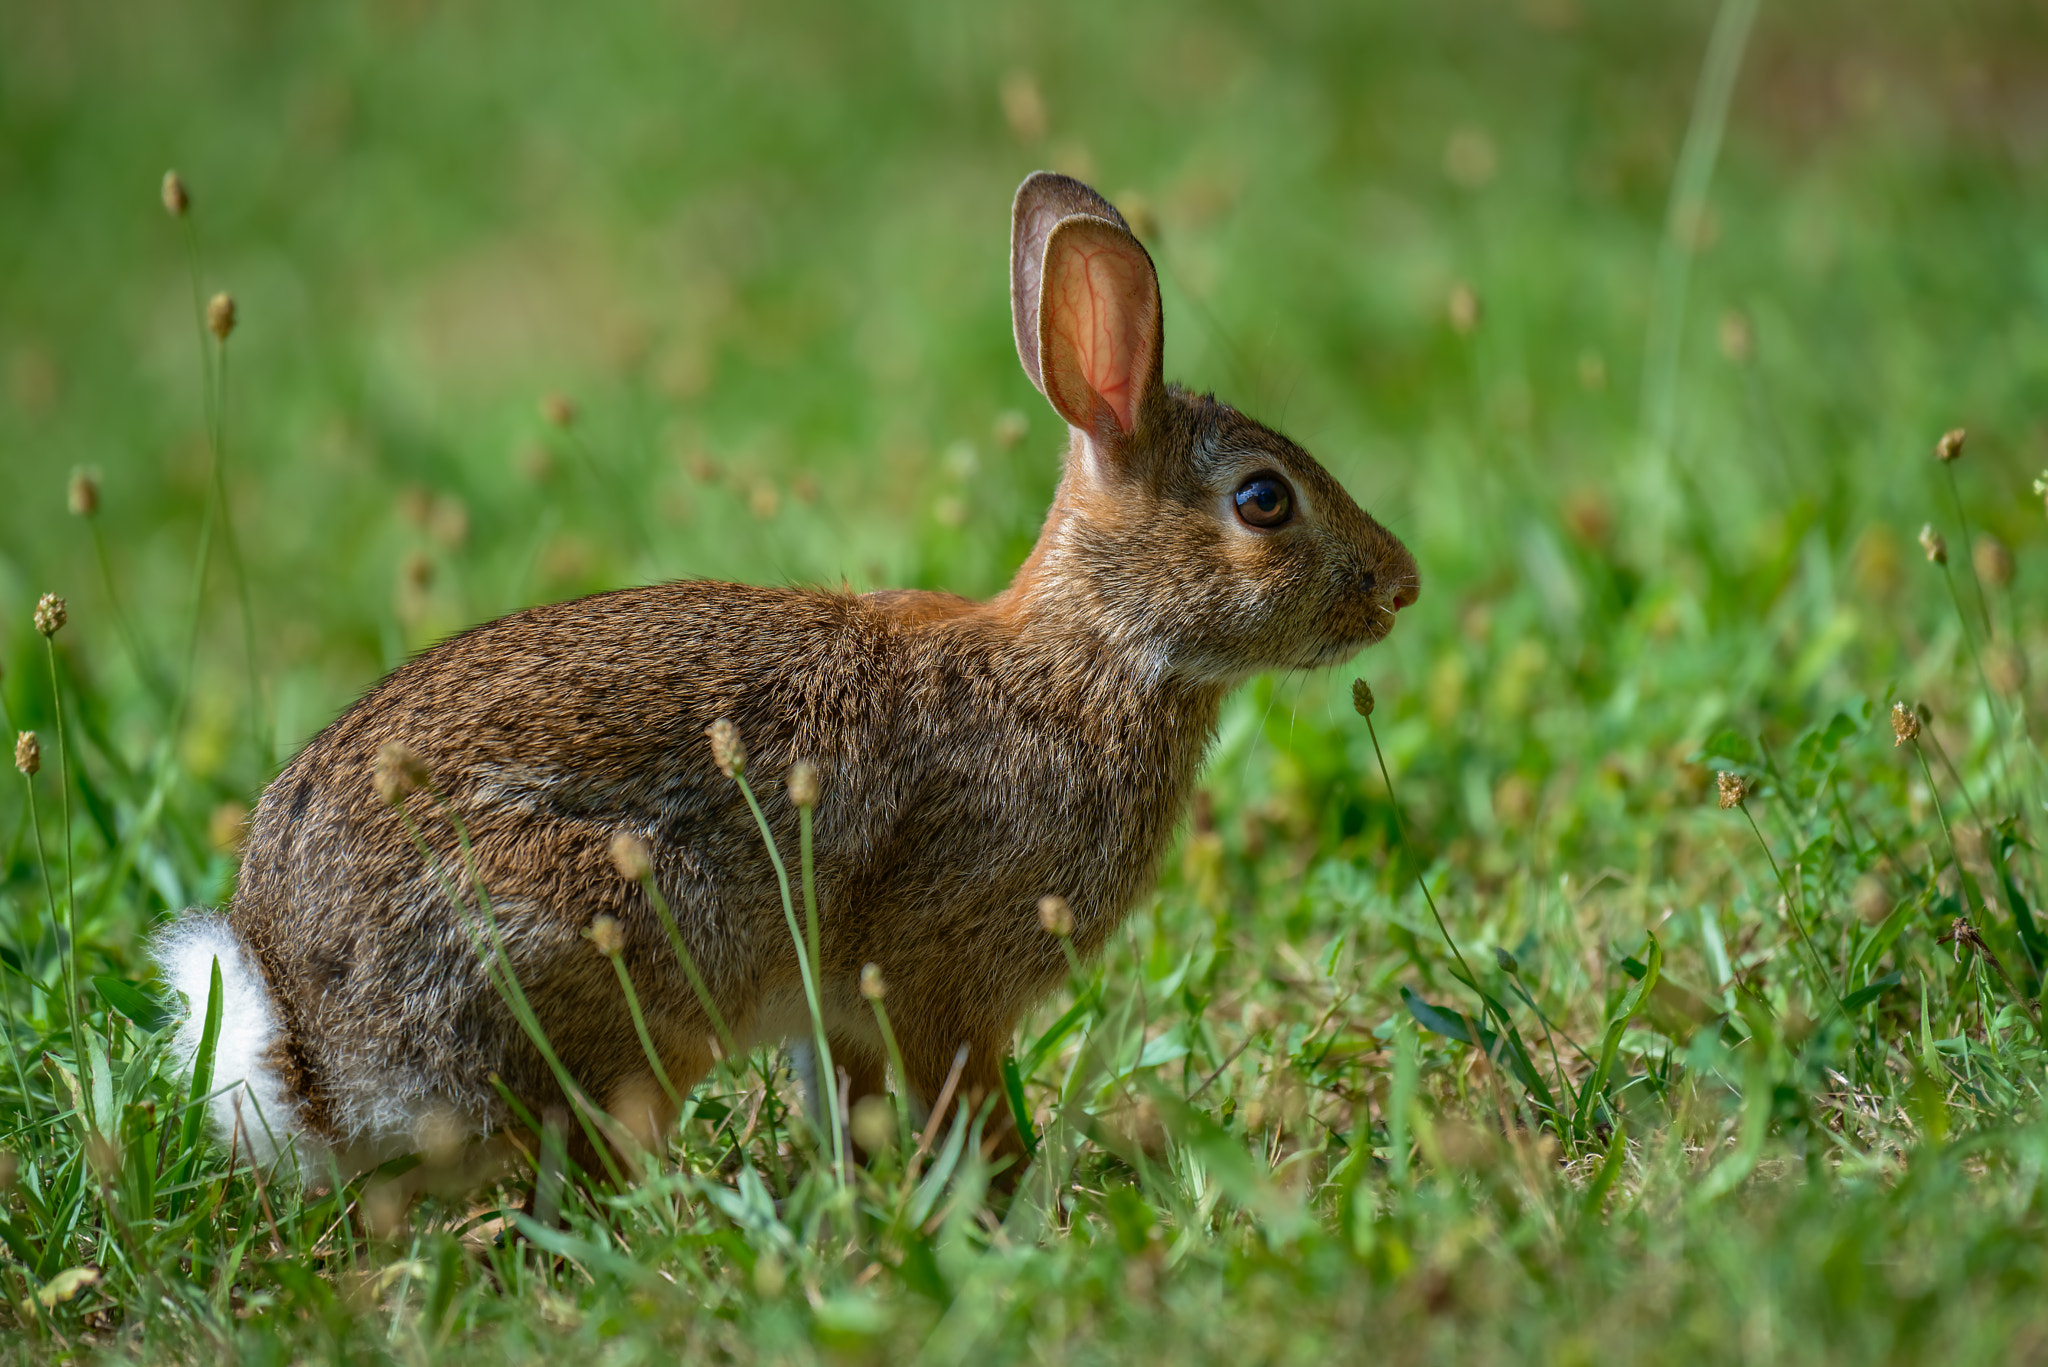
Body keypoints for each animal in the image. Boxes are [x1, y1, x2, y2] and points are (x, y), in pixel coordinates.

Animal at [159, 174, 1417, 1188]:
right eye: (1262, 500)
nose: (1399, 586)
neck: (1087, 655)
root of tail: (316, 1058)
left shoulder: (843, 1016)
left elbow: (853, 1106)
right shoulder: (941, 980)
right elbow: (961, 1100)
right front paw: (1010, 1205)